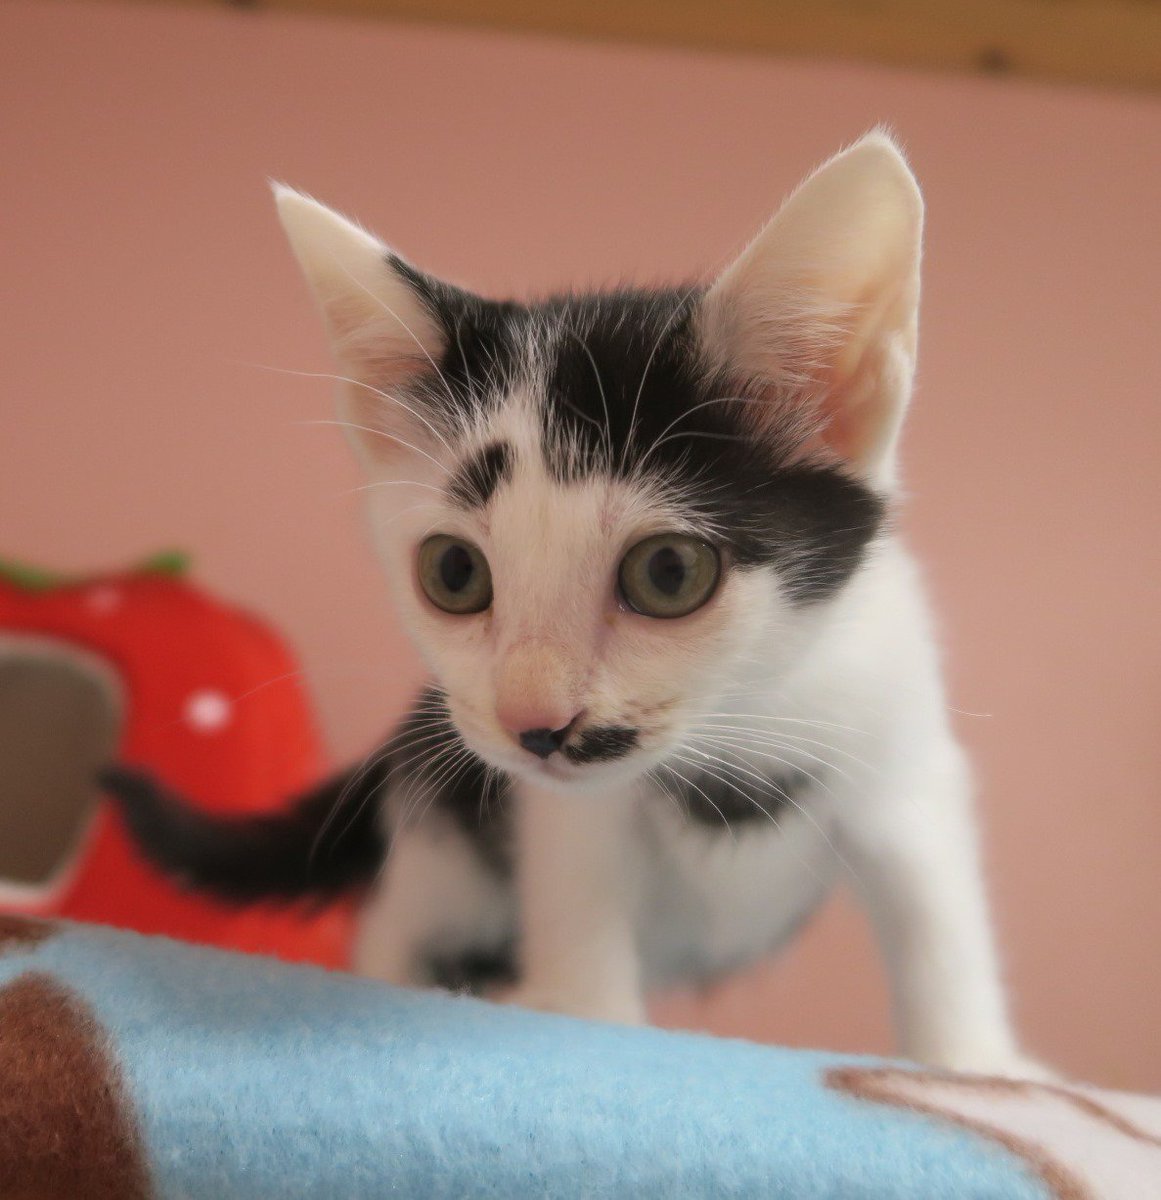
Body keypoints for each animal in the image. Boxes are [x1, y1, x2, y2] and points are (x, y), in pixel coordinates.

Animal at [102, 131, 1040, 1077]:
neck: (736, 719)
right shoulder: (550, 807)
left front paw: (974, 1066)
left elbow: (934, 910)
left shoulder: (900, 738)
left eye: (669, 572)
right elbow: (575, 879)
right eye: (453, 572)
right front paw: (582, 1015)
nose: (535, 724)